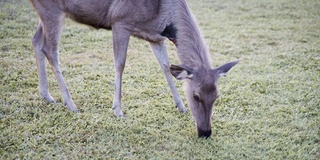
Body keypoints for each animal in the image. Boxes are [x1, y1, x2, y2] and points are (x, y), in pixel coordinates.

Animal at [30, 0, 239, 138]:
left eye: (217, 96)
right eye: (196, 96)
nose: (205, 132)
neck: (162, 16)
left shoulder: (155, 38)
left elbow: (165, 67)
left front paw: (180, 106)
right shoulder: (119, 21)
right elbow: (120, 64)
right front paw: (117, 109)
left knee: (36, 41)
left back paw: (47, 95)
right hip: (52, 10)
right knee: (50, 49)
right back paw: (71, 104)